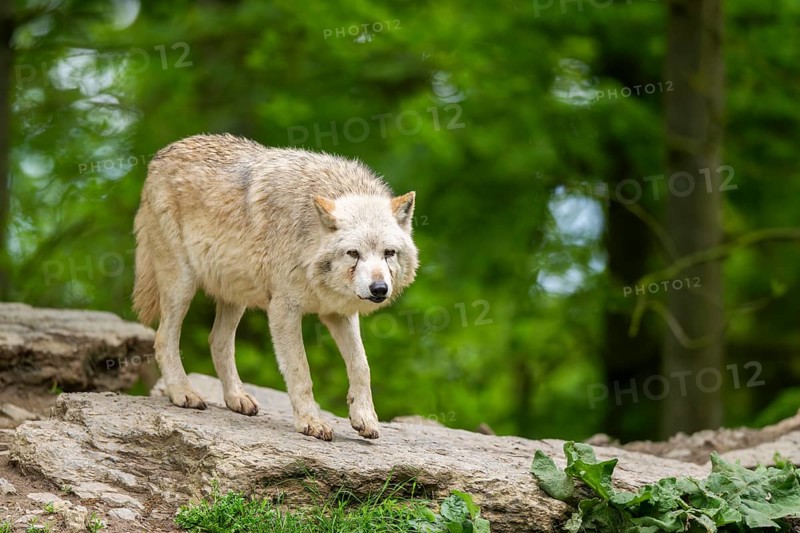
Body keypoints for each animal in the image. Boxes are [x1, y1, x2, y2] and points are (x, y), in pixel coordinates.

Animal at [132, 134, 418, 440]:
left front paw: (364, 418)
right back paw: (183, 393)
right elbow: (300, 370)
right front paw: (310, 422)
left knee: (218, 342)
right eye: (353, 253)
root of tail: (162, 154)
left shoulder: (338, 314)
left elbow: (361, 366)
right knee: (164, 339)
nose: (379, 289)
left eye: (388, 253)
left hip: (235, 296)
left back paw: (237, 398)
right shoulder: (283, 311)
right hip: (182, 285)